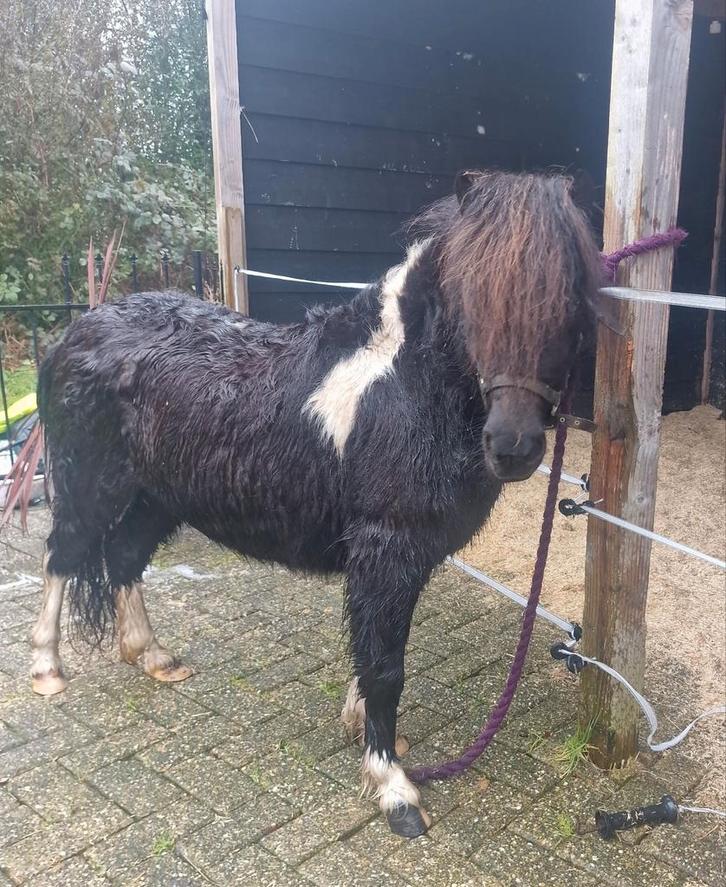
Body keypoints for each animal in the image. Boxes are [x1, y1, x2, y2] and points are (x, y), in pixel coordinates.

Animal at [29, 169, 602, 838]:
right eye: (471, 293)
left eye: (566, 294)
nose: (513, 445)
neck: (404, 383)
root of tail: (76, 333)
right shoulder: (385, 547)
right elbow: (385, 666)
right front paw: (393, 789)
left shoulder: (407, 554)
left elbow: (374, 647)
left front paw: (365, 730)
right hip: (90, 488)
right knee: (62, 557)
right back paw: (47, 669)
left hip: (157, 499)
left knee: (122, 558)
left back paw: (153, 656)